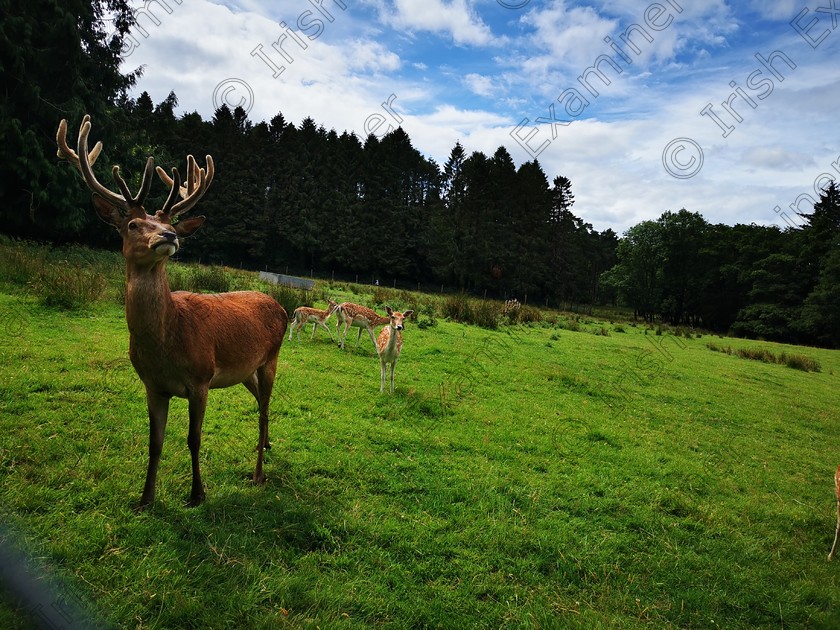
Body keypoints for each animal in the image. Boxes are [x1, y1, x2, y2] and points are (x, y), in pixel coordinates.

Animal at [57, 116, 288, 512]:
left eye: (171, 224)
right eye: (133, 225)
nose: (168, 236)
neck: (165, 345)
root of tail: (282, 306)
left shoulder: (201, 379)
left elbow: (193, 439)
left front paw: (197, 494)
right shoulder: (152, 385)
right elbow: (155, 442)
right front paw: (145, 499)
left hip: (270, 358)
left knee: (262, 409)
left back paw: (258, 472)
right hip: (245, 370)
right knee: (261, 402)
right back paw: (267, 444)